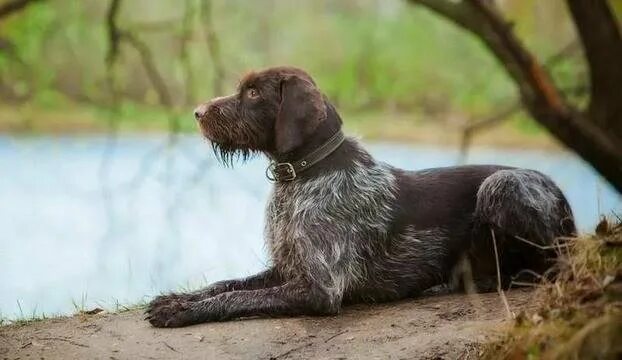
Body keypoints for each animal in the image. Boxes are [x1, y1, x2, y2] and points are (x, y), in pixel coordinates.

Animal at [144, 66, 576, 328]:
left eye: (252, 92)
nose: (198, 112)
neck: (304, 175)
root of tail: (562, 197)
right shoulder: (286, 269)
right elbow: (226, 285)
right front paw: (179, 298)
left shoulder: (319, 290)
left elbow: (237, 299)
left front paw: (181, 310)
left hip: (501, 186)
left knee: (553, 264)